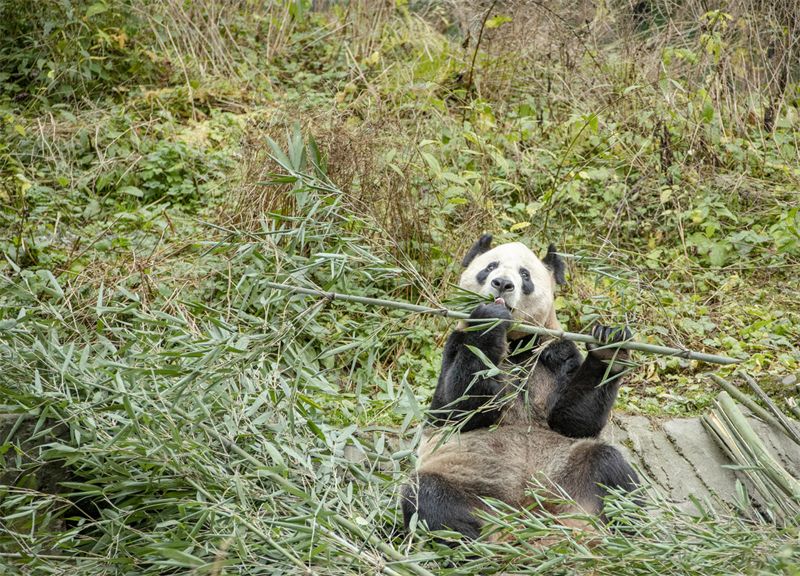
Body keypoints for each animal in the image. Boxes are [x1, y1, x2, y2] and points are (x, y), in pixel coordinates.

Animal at [401, 235, 639, 541]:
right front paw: (490, 318)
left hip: (567, 469)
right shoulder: (456, 343)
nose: (502, 284)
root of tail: (526, 518)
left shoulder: (556, 354)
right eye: (490, 266)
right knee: (427, 498)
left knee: (611, 470)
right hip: (466, 479)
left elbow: (573, 421)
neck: (515, 344)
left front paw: (609, 345)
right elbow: (455, 409)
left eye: (525, 275)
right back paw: (482, 543)